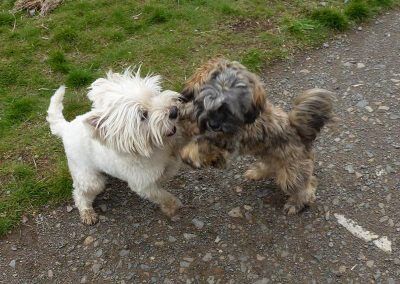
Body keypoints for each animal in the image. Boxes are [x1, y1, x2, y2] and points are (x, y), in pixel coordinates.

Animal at [47, 68, 183, 224]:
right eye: (143, 115)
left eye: (154, 95)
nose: (174, 111)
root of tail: (66, 128)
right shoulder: (143, 184)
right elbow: (162, 195)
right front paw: (173, 206)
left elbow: (170, 169)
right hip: (89, 177)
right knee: (80, 192)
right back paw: (87, 212)